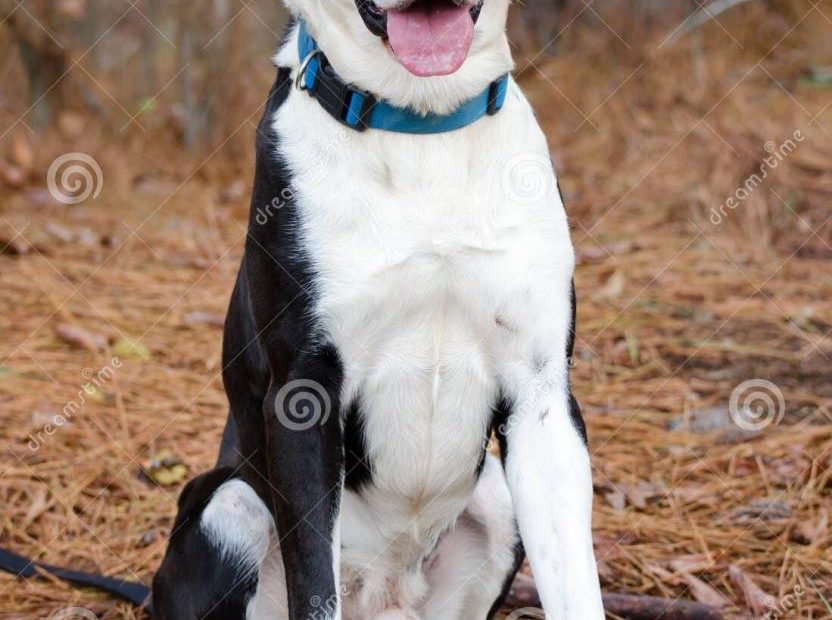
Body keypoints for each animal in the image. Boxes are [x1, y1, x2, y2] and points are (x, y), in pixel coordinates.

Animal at [153, 1, 600, 620]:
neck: (420, 122)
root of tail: (382, 592)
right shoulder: (302, 394)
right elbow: (315, 590)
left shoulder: (542, 394)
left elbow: (577, 585)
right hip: (230, 502)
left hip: (496, 500)